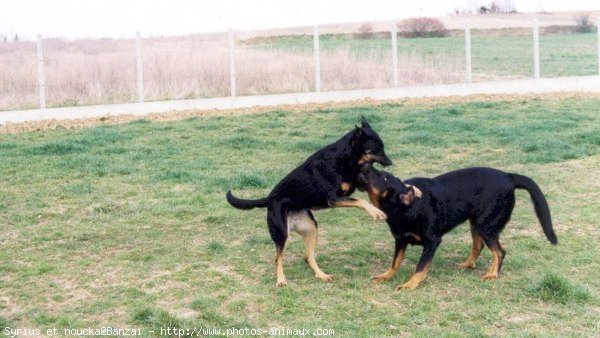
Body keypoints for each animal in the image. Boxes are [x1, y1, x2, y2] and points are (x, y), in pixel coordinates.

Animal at [227, 117, 392, 286]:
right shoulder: (334, 199)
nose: (390, 162)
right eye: (376, 149)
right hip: (281, 233)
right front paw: (377, 213)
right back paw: (281, 280)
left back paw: (322, 275)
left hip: (311, 229)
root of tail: (269, 199)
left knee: (308, 257)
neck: (344, 158)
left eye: (382, 147)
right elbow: (361, 200)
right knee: (278, 259)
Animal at [356, 165, 556, 290]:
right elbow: (395, 262)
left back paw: (492, 274)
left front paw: (410, 285)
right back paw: (468, 264)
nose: (364, 166)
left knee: (499, 252)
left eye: (383, 177)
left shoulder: (432, 242)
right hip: (476, 223)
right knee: (479, 246)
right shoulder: (400, 239)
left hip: (486, 225)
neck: (409, 207)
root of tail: (508, 176)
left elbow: (420, 267)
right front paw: (386, 276)